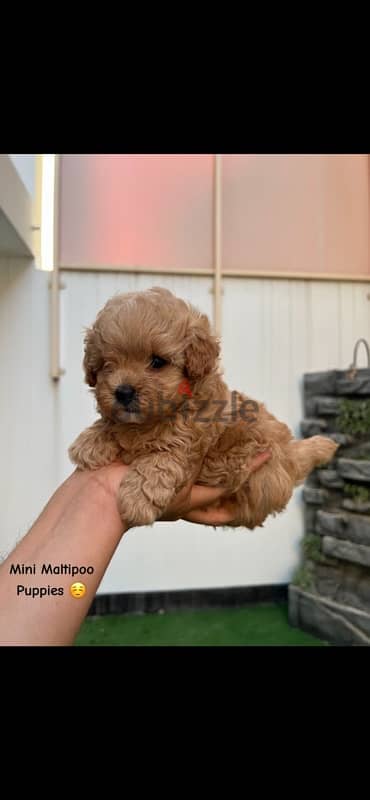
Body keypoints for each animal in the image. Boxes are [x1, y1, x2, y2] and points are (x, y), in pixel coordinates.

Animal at [70, 290, 338, 532]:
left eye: (157, 362)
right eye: (107, 364)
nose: (123, 392)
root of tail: (291, 457)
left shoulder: (190, 440)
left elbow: (160, 460)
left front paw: (137, 499)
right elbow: (112, 423)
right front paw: (91, 441)